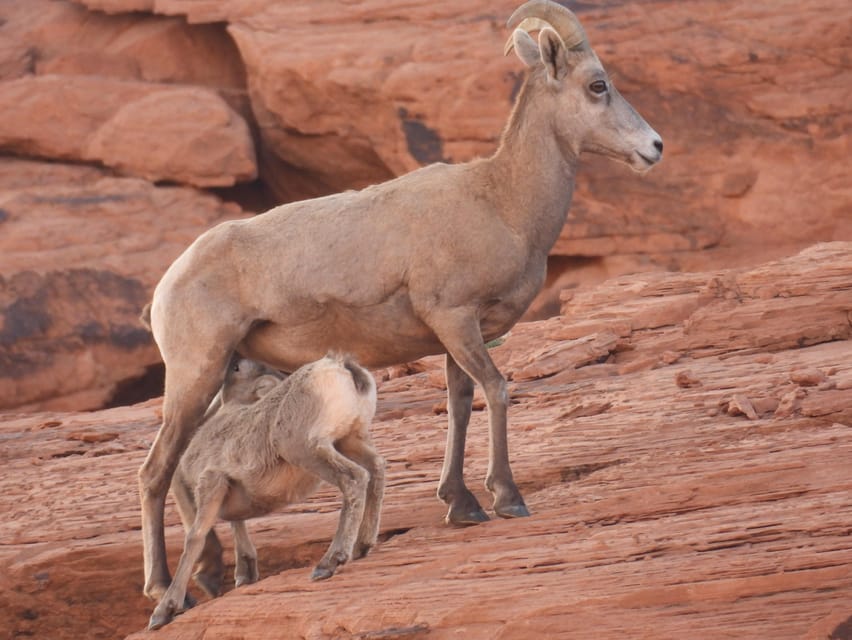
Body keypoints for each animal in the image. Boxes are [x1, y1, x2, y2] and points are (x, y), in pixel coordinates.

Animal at [140, 0, 664, 600]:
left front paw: (461, 504)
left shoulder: (456, 336)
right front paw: (507, 498)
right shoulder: (455, 318)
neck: (503, 202)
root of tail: (167, 285)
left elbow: (460, 403)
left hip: (221, 376)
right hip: (194, 373)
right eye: (598, 85)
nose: (655, 147)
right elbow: (498, 391)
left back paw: (210, 574)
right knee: (156, 470)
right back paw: (165, 587)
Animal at [149, 356, 382, 632]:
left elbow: (195, 538)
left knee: (354, 479)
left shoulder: (211, 482)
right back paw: (361, 547)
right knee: (376, 470)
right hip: (350, 441)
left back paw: (329, 563)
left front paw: (163, 613)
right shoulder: (228, 491)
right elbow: (236, 523)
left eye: (237, 369)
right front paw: (245, 576)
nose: (235, 358)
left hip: (308, 450)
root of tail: (340, 366)